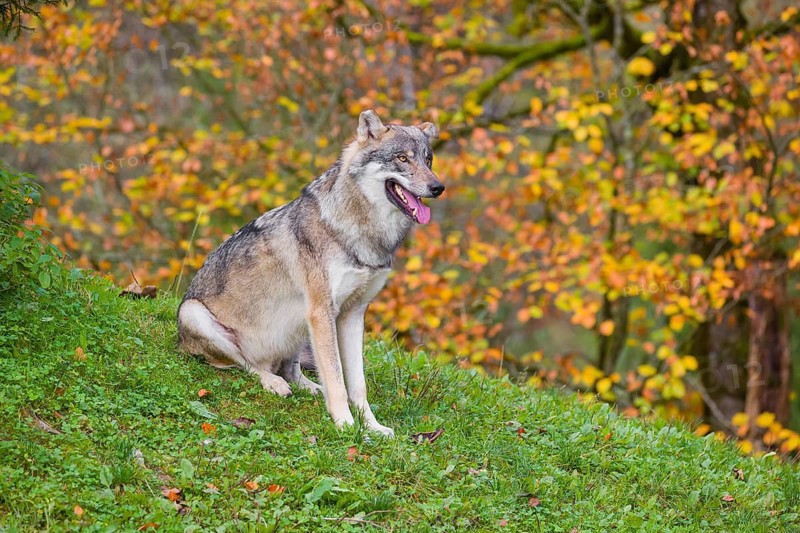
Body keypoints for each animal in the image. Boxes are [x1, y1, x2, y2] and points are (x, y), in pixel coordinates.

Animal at [177, 110, 444, 436]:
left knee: (291, 370)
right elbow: (337, 380)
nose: (438, 187)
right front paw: (345, 425)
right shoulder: (322, 311)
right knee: (249, 365)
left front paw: (372, 427)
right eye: (402, 158)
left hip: (300, 326)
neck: (362, 232)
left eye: (428, 160)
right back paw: (273, 383)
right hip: (195, 312)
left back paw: (311, 388)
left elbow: (357, 384)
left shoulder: (353, 314)